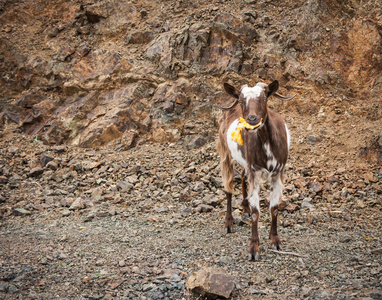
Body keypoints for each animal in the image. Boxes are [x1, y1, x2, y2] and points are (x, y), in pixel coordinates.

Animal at [218, 80, 296, 260]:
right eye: (241, 100)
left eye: (264, 98)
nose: (252, 119)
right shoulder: (254, 171)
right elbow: (256, 212)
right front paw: (253, 249)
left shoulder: (277, 172)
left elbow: (274, 208)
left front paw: (275, 240)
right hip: (225, 153)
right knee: (228, 187)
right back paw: (229, 223)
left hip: (245, 161)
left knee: (243, 179)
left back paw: (244, 208)